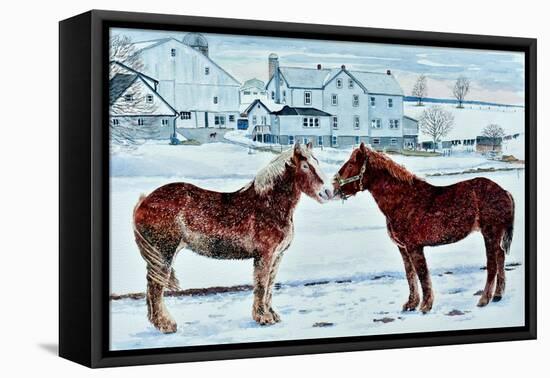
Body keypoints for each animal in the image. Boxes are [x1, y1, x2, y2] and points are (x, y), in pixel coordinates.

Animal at [135, 142, 332, 334]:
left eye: (317, 162)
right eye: (305, 166)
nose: (328, 192)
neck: (268, 205)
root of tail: (144, 201)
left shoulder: (277, 256)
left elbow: (270, 286)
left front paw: (272, 315)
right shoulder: (265, 256)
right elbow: (261, 286)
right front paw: (263, 318)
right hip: (164, 252)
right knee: (156, 287)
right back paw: (167, 325)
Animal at [334, 142, 520, 314]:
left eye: (351, 164)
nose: (334, 186)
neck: (403, 200)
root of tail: (504, 191)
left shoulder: (414, 247)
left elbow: (422, 275)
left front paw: (425, 306)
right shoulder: (403, 248)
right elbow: (410, 275)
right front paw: (411, 304)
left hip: (490, 234)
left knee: (492, 264)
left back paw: (484, 300)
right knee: (501, 258)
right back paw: (497, 295)